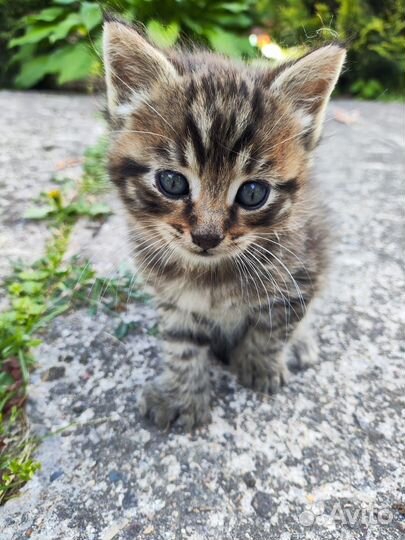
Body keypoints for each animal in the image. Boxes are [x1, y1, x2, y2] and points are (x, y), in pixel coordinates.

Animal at [102, 15, 346, 430]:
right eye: (172, 182)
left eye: (253, 193)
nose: (207, 236)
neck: (212, 274)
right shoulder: (172, 298)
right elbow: (181, 346)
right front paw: (184, 396)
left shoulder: (304, 269)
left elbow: (274, 327)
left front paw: (258, 366)